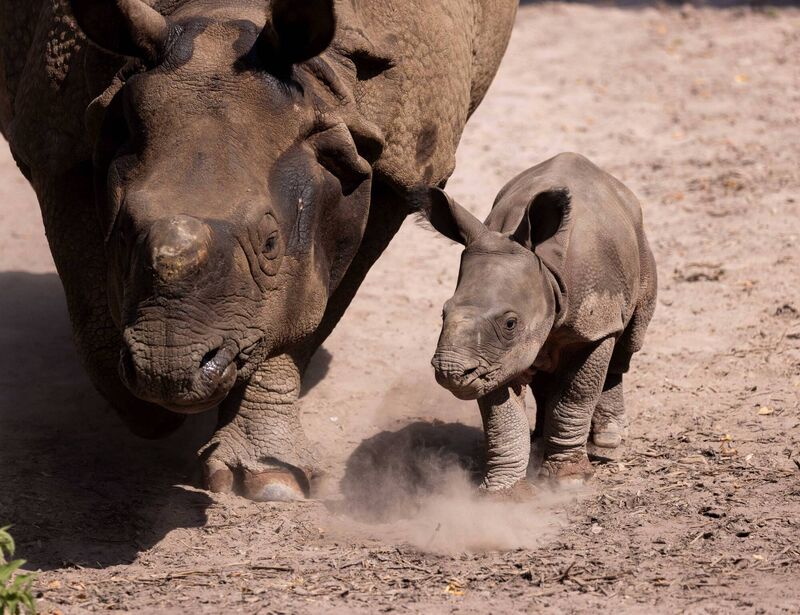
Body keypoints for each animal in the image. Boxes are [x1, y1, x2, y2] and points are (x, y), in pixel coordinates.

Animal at [0, 0, 517, 500]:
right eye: (123, 232)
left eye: (271, 244)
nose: (169, 370)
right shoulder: (59, 146)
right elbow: (90, 298)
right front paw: (148, 410)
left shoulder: (393, 165)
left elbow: (301, 314)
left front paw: (271, 479)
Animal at [418, 152, 657, 492]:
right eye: (443, 312)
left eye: (510, 323)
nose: (450, 372)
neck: (546, 270)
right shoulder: (493, 359)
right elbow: (502, 419)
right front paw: (503, 492)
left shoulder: (593, 327)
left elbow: (575, 397)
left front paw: (569, 481)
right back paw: (540, 442)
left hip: (639, 245)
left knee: (629, 340)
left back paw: (607, 441)